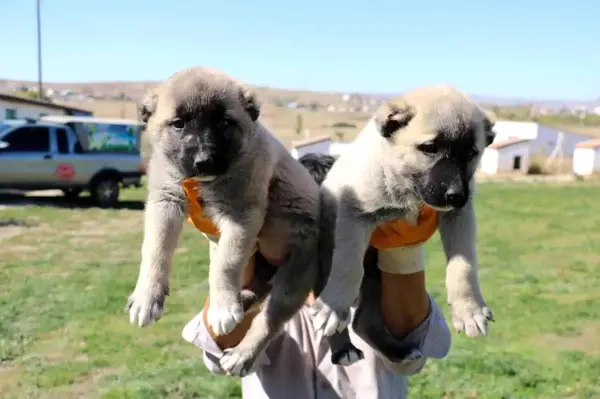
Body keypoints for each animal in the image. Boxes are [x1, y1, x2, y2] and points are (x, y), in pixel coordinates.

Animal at [126, 67, 322, 376]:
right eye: (178, 124)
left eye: (224, 123)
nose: (204, 161)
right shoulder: (164, 200)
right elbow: (155, 249)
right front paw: (147, 296)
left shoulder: (241, 215)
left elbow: (225, 263)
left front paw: (222, 307)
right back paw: (244, 299)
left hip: (297, 274)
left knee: (270, 321)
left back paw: (242, 354)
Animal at [310, 84, 496, 340]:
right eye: (429, 148)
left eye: (471, 153)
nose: (456, 195)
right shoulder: (354, 213)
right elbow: (347, 264)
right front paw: (333, 306)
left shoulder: (460, 217)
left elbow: (463, 266)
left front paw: (469, 309)